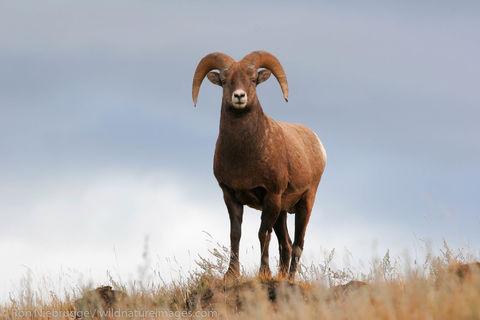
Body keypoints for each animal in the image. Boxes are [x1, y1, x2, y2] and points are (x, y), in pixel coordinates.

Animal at [191, 50, 326, 278]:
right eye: (225, 81)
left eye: (253, 80)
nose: (239, 96)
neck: (244, 155)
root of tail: (317, 143)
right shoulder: (231, 196)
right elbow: (235, 234)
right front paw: (231, 273)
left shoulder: (271, 197)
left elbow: (263, 233)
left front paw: (264, 273)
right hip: (283, 212)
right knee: (286, 244)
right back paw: (282, 276)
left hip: (305, 203)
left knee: (297, 244)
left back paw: (289, 278)